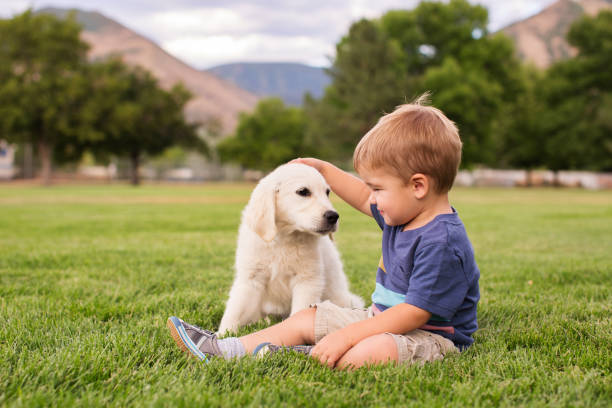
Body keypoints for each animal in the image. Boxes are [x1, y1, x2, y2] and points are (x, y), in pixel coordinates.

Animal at [219, 163, 364, 334]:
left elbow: (299, 312)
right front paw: (222, 335)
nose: (333, 216)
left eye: (327, 192)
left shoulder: (307, 280)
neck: (284, 238)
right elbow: (234, 311)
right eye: (303, 192)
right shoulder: (250, 279)